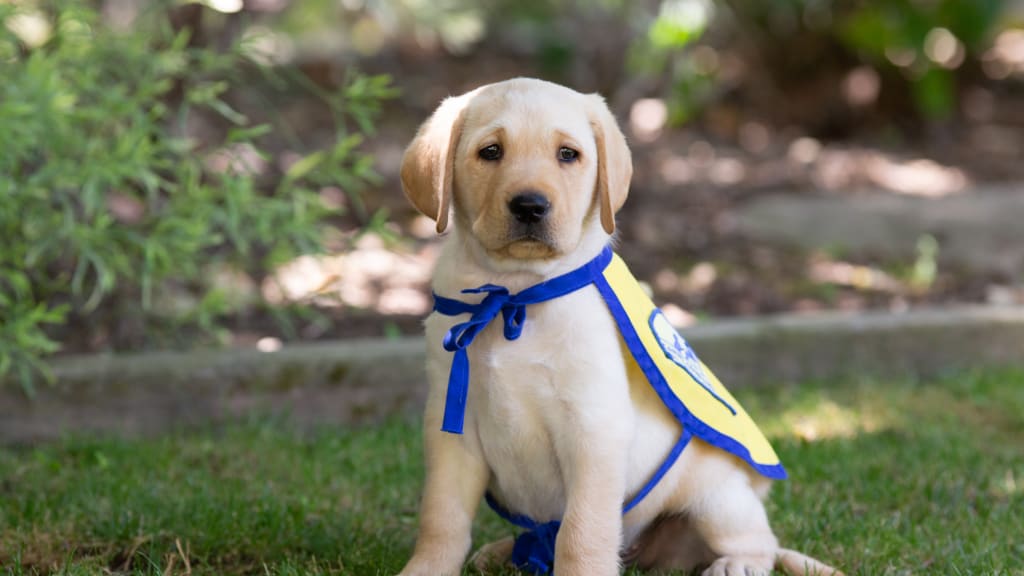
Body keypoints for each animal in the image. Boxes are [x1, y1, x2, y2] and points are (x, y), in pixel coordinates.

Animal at [393, 77, 839, 573]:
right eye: (490, 152)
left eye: (567, 154)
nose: (530, 206)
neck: (516, 293)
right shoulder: (451, 426)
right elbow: (442, 517)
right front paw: (427, 568)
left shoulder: (593, 428)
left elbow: (581, 531)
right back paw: (503, 552)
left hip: (717, 501)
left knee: (758, 540)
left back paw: (736, 564)